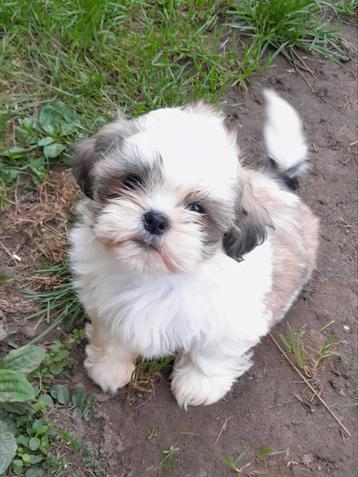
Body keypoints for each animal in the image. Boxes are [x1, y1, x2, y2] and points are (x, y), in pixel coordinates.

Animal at [68, 91, 318, 408]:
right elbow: (113, 334)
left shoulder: (233, 320)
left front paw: (198, 384)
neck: (154, 275)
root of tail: (277, 183)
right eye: (132, 180)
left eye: (197, 208)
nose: (156, 219)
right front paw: (108, 367)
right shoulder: (104, 301)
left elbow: (211, 353)